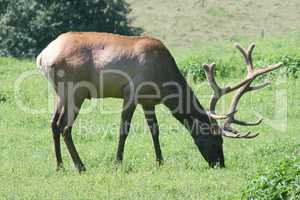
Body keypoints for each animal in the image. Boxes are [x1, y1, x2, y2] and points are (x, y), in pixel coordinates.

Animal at [36, 32, 282, 172]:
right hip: (75, 91)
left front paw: (160, 161)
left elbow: (155, 130)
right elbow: (123, 130)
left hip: (59, 93)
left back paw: (59, 166)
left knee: (53, 124)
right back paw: (80, 166)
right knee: (65, 127)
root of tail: (42, 56)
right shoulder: (131, 92)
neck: (163, 82)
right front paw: (117, 163)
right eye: (215, 140)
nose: (219, 164)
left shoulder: (148, 101)